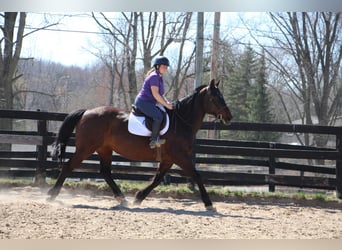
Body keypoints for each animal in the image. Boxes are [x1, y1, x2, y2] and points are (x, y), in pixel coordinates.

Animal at [48, 78, 232, 211]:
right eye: (215, 98)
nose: (229, 117)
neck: (181, 121)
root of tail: (86, 112)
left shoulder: (168, 159)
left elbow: (157, 179)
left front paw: (138, 197)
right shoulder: (180, 156)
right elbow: (197, 175)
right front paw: (209, 204)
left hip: (104, 149)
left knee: (105, 172)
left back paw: (122, 199)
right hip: (86, 148)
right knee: (69, 166)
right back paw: (51, 195)